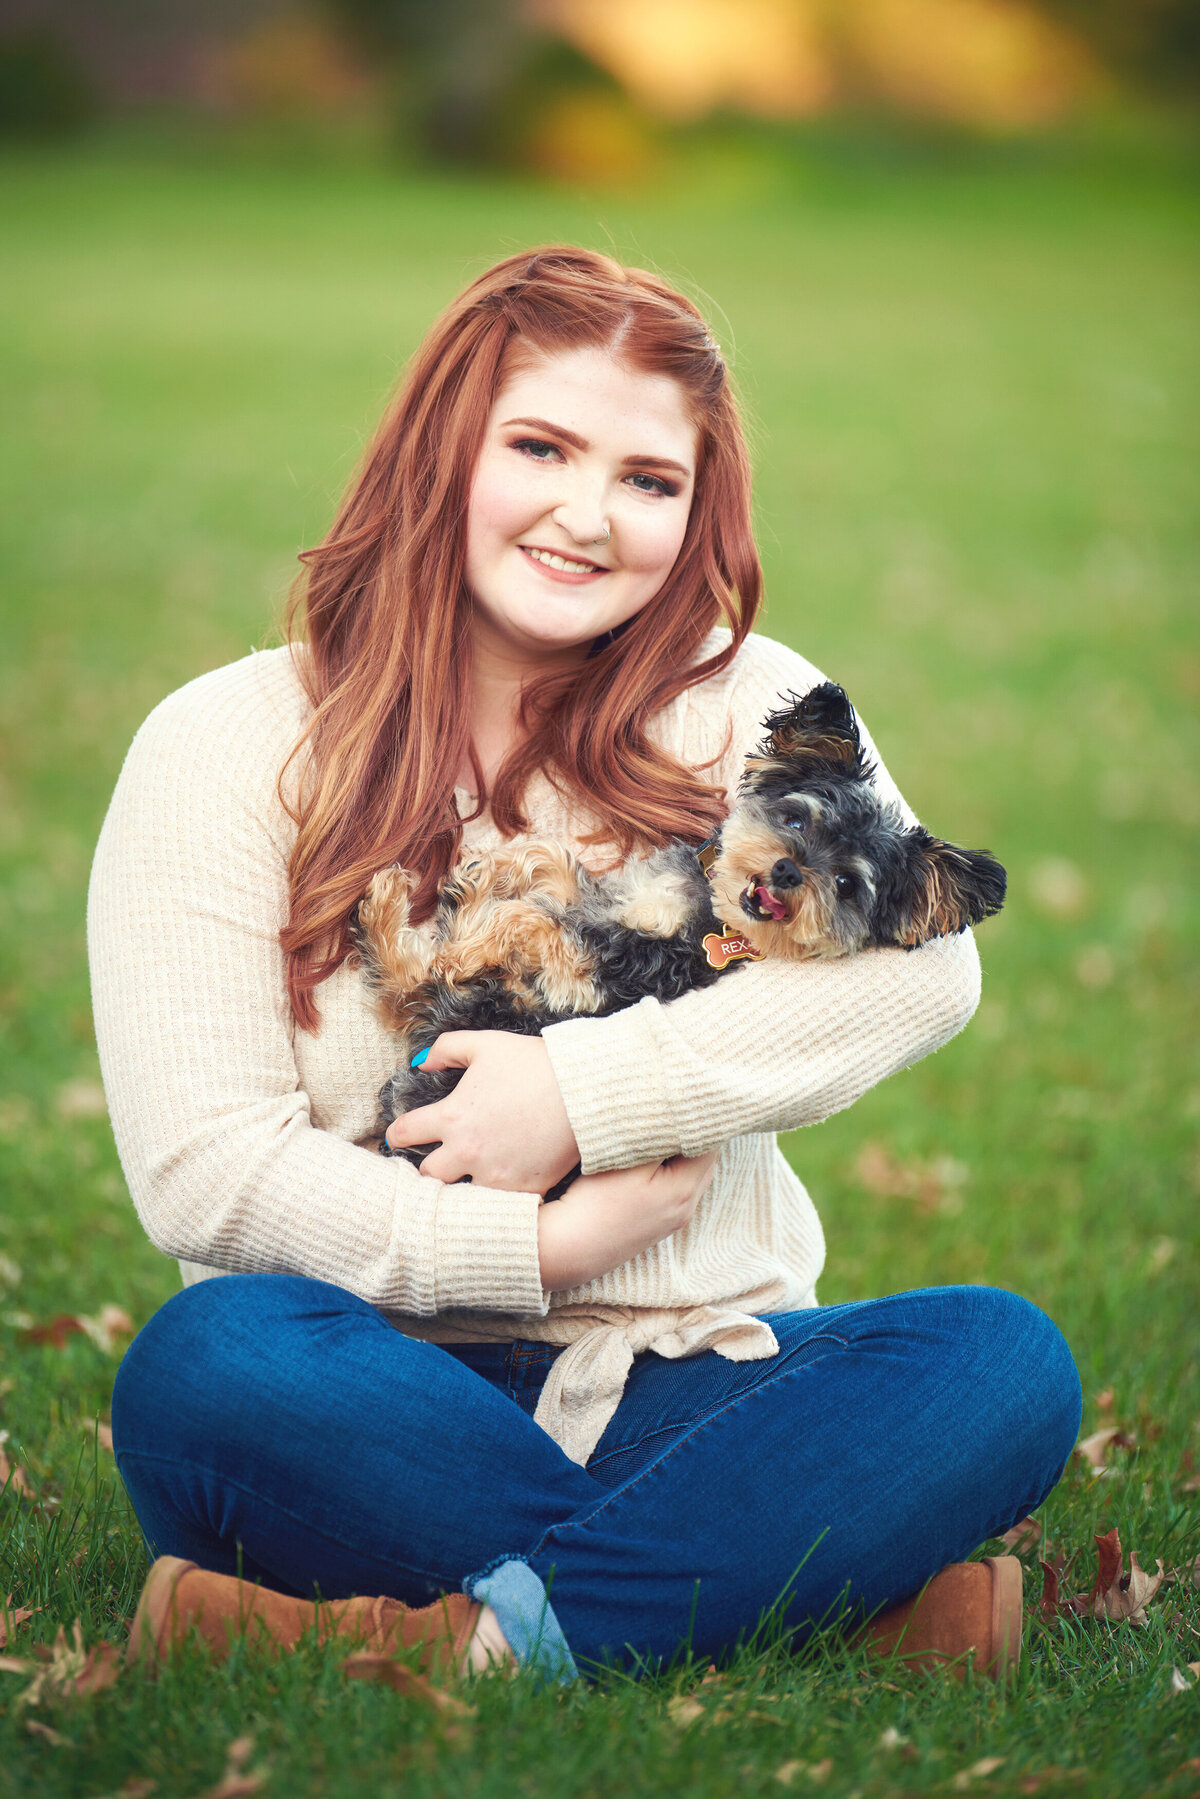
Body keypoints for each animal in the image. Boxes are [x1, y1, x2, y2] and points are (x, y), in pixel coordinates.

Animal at [354, 676, 1007, 1165]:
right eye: (797, 820)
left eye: (847, 885)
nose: (789, 872)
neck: (710, 914)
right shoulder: (613, 904)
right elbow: (554, 864)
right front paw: (492, 870)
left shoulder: (596, 975)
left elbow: (534, 923)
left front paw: (470, 936)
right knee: (407, 981)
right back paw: (405, 901)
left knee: (415, 981)